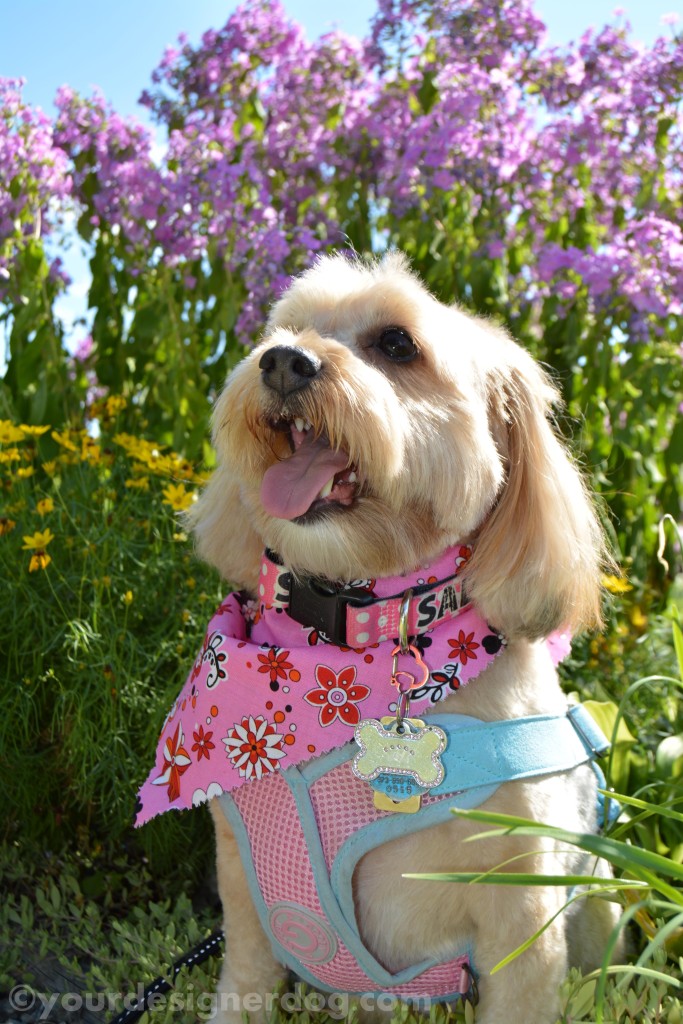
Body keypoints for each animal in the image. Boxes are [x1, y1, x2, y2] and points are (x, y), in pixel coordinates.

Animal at [180, 249, 618, 1024]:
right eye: (285, 329)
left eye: (396, 344)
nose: (283, 362)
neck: (355, 636)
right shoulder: (246, 887)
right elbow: (246, 981)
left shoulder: (522, 914)